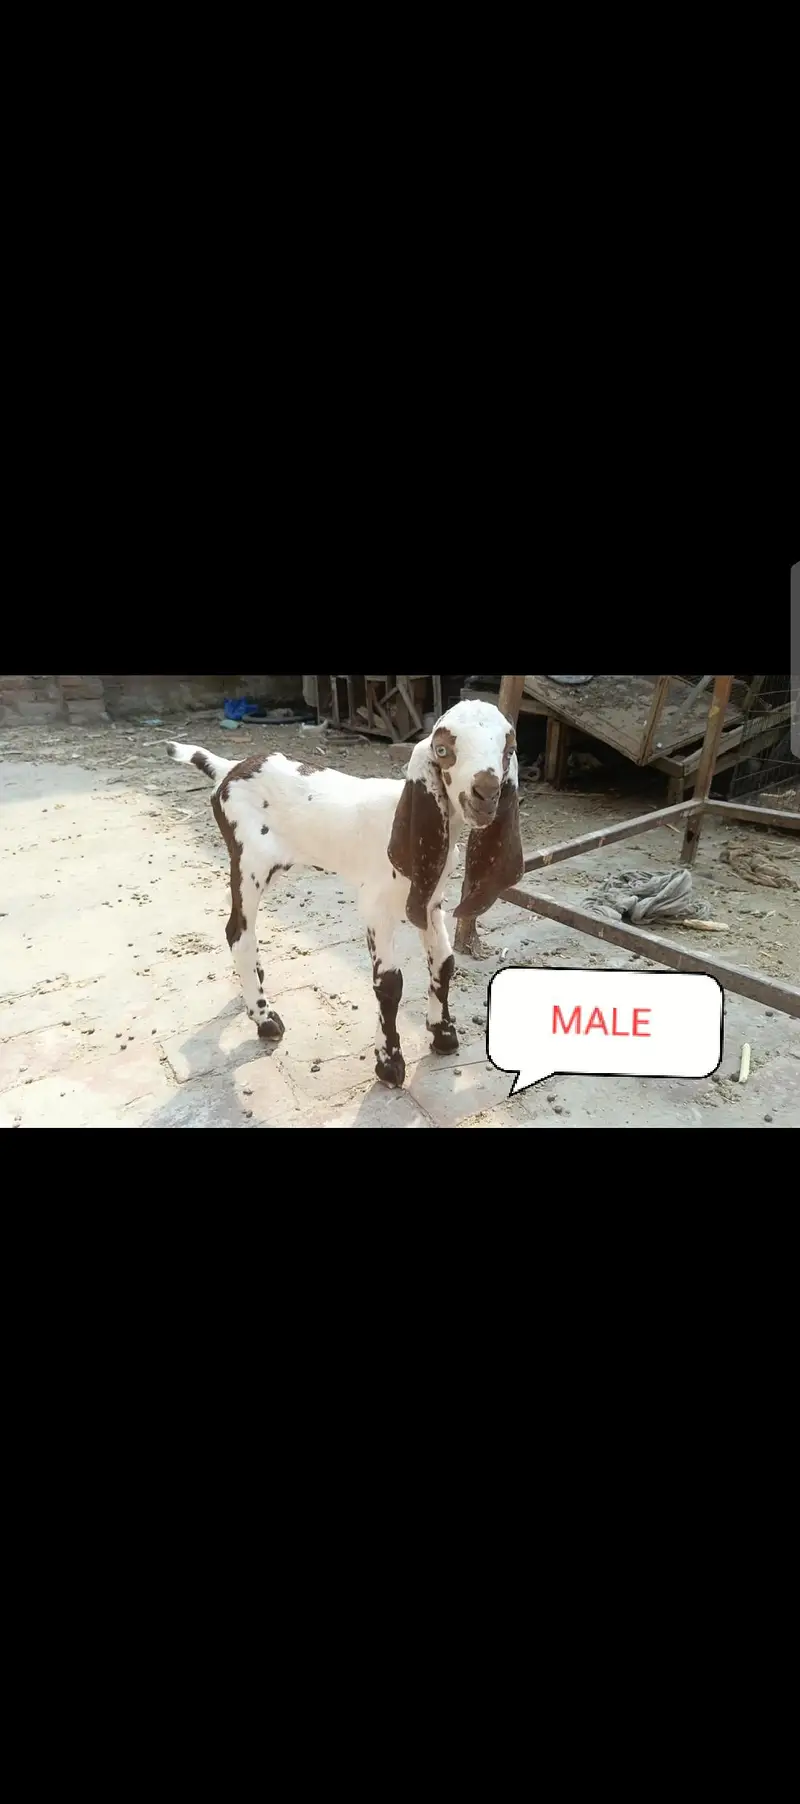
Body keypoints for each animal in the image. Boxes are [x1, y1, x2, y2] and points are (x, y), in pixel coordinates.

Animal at [166, 699, 524, 1087]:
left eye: (508, 750)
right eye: (442, 750)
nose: (485, 794)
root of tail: (229, 769)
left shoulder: (429, 900)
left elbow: (443, 963)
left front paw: (443, 1035)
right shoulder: (376, 906)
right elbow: (389, 982)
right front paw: (389, 1064)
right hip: (250, 865)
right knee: (238, 933)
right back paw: (265, 1020)